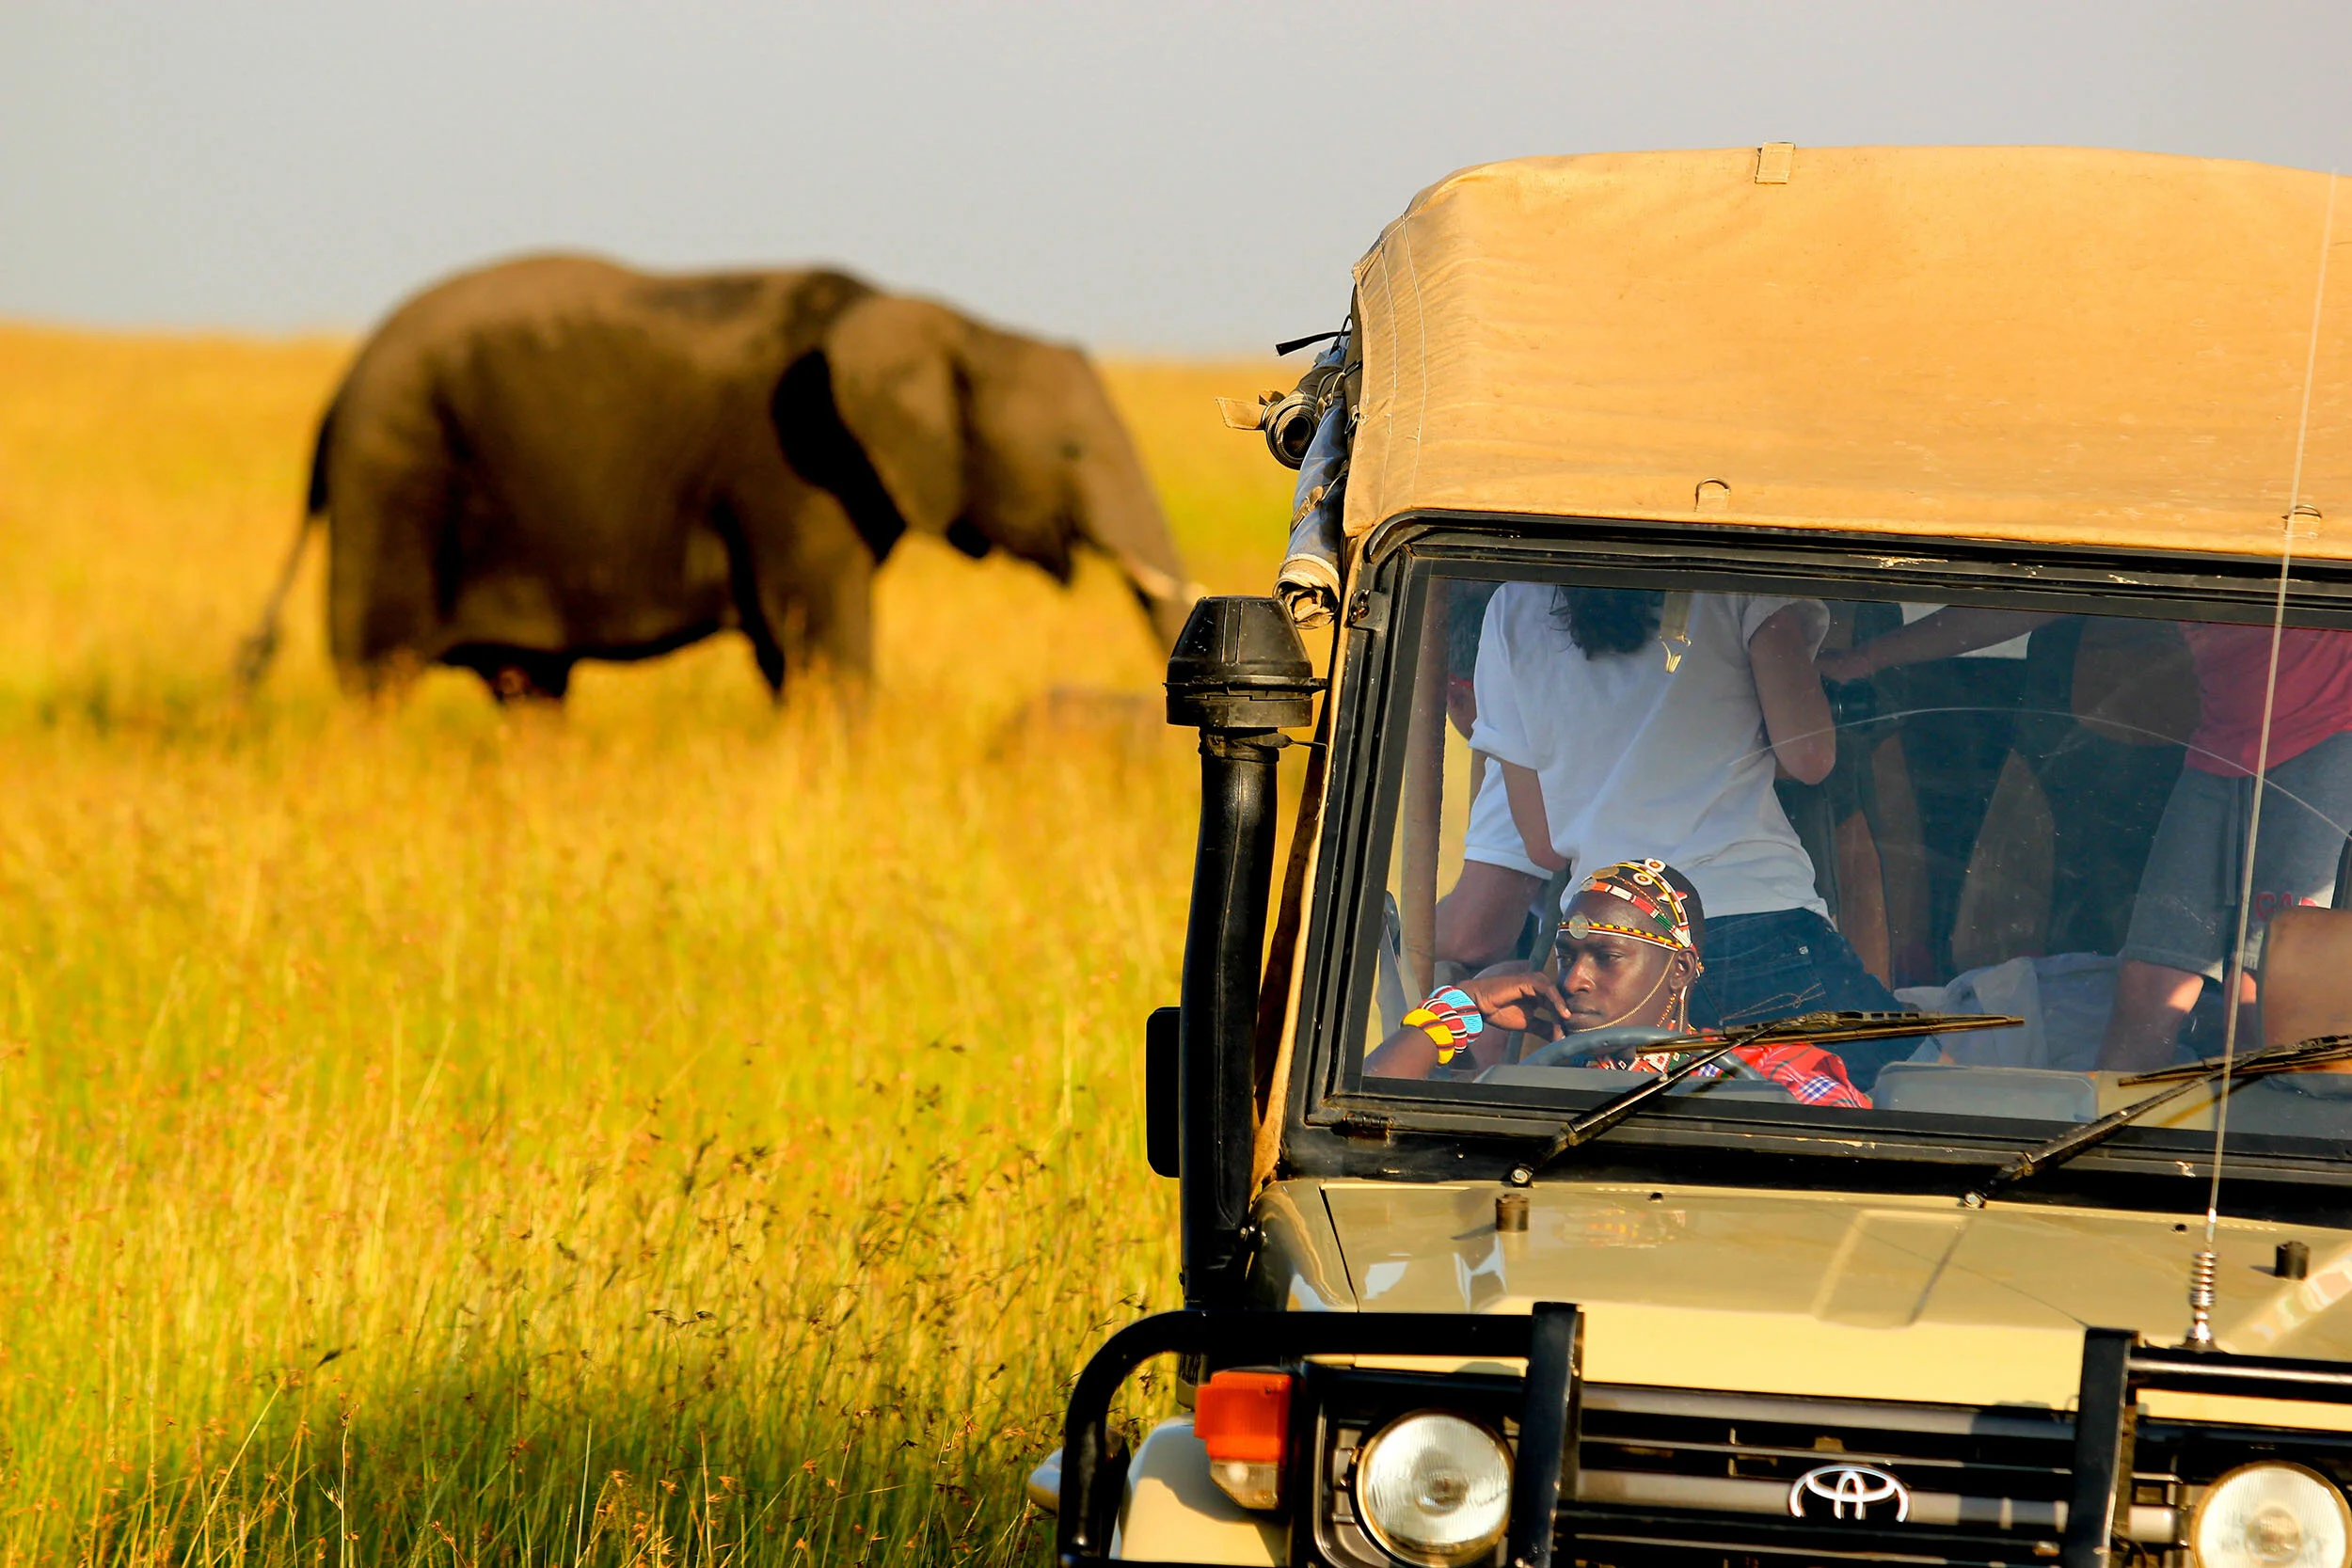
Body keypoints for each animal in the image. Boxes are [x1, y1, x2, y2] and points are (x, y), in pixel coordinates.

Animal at [237, 254, 1202, 701]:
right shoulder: (789, 465)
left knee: (528, 687)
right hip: (394, 474)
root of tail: (334, 401)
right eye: (1071, 452)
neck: (953, 321)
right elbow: (821, 640)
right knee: (380, 672)